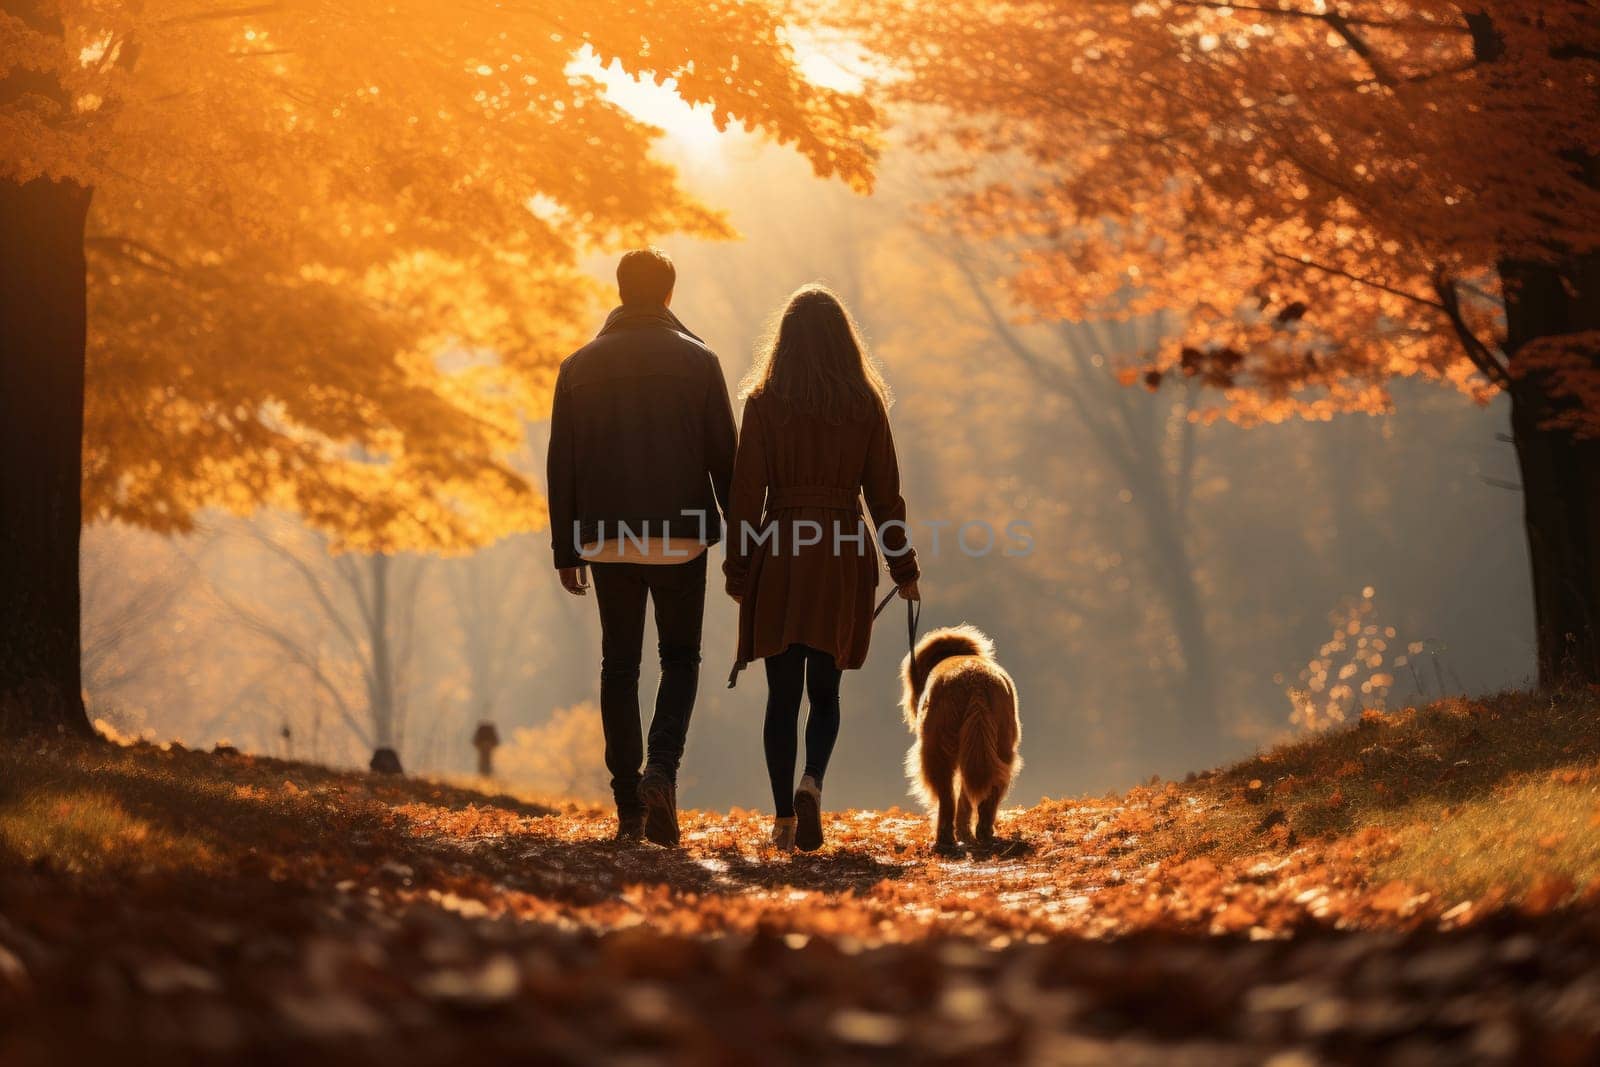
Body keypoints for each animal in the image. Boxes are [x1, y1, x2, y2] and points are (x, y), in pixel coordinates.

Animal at [902, 620, 1024, 857]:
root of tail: (976, 682)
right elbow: (966, 798)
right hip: (1001, 747)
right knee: (990, 790)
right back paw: (983, 833)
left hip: (936, 750)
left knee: (946, 797)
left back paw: (944, 840)